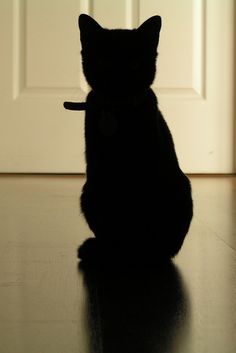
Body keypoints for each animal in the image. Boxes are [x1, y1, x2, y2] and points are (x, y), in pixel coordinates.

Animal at [73, 14, 193, 262]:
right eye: (103, 62)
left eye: (134, 64)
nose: (118, 80)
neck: (119, 113)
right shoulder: (100, 172)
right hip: (88, 192)